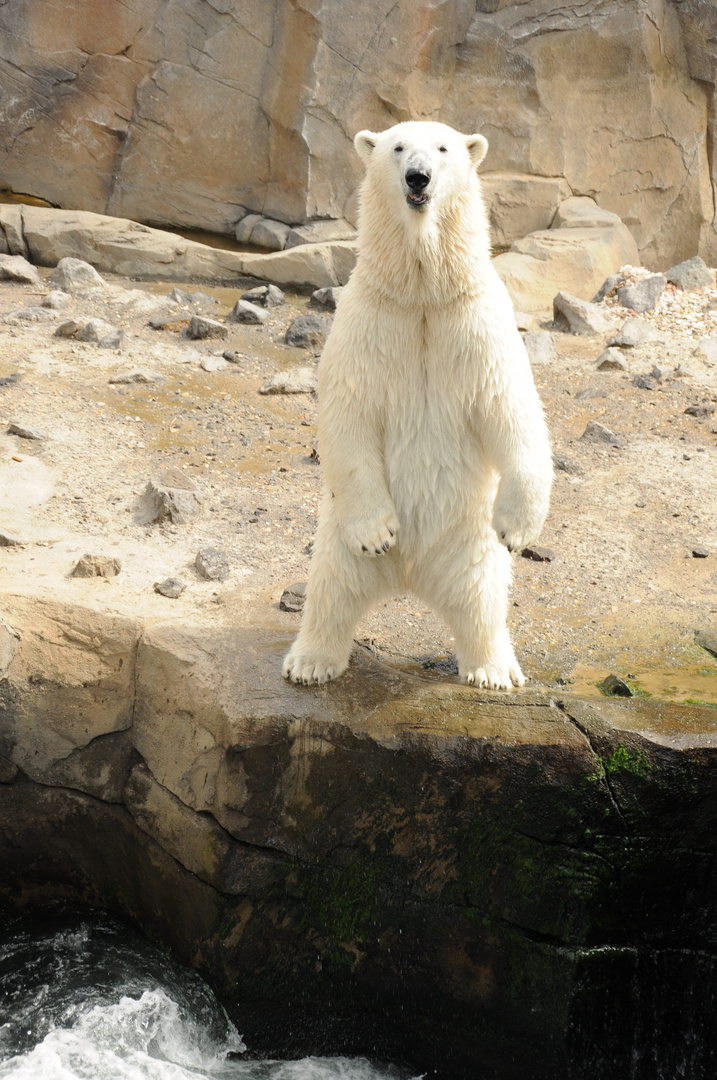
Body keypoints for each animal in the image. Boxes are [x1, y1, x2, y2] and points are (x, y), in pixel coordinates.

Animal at [282, 120, 550, 691]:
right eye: (398, 147)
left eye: (444, 149)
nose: (417, 177)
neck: (423, 293)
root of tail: (411, 576)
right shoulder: (370, 318)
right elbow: (350, 412)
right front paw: (377, 534)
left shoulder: (476, 320)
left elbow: (509, 404)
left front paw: (518, 527)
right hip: (335, 533)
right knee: (331, 587)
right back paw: (311, 661)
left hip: (469, 543)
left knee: (483, 600)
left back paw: (494, 670)